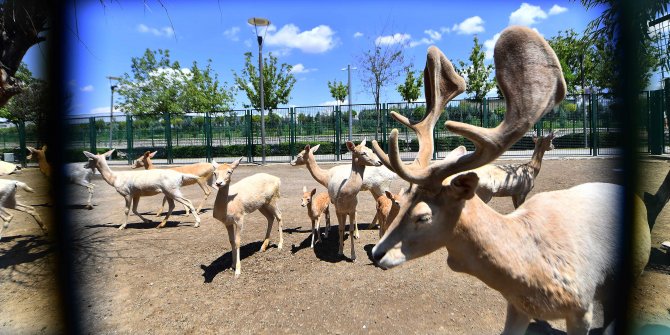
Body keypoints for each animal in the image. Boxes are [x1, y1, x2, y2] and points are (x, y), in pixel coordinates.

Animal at [368, 26, 652, 335]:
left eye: (423, 216)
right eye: (403, 199)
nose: (376, 253)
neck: (530, 272)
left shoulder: (582, 307)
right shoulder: (516, 306)